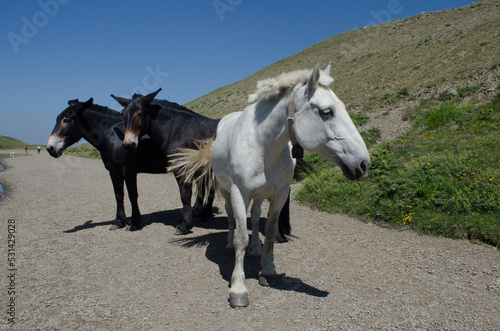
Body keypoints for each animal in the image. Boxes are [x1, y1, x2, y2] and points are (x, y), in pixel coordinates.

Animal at [44, 98, 213, 232]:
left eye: (66, 119)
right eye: (58, 118)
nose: (50, 148)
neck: (113, 137)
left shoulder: (129, 171)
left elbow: (132, 195)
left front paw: (135, 222)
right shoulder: (114, 172)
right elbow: (119, 195)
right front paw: (118, 221)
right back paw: (203, 214)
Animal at [111, 89, 294, 243]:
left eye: (140, 113)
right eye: (123, 113)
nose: (128, 144)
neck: (176, 129)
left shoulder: (181, 170)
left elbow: (185, 195)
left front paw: (184, 225)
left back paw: (278, 233)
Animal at [172, 63, 372, 308]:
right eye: (327, 112)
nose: (363, 164)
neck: (262, 145)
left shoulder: (280, 194)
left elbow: (270, 230)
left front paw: (267, 269)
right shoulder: (239, 194)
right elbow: (241, 238)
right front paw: (238, 289)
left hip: (259, 195)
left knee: (256, 215)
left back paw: (256, 250)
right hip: (227, 191)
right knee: (231, 218)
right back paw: (228, 243)